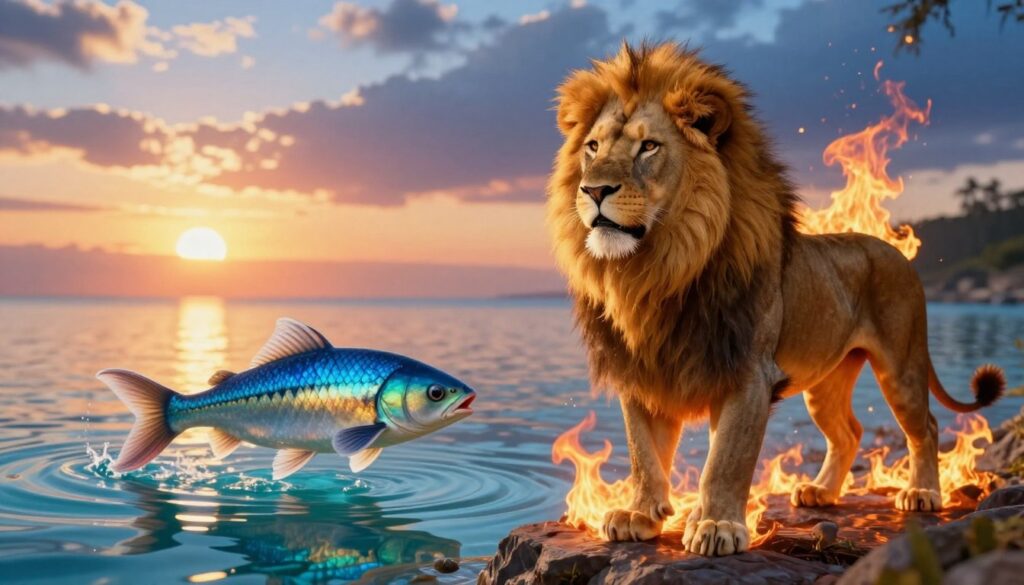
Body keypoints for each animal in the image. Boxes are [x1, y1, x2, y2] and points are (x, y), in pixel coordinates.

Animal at [546, 42, 1005, 557]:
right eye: (593, 147)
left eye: (649, 147)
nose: (593, 189)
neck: (656, 271)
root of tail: (896, 252)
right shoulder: (643, 373)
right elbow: (643, 453)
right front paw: (639, 516)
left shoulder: (747, 373)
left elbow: (725, 460)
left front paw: (717, 526)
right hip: (826, 381)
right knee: (849, 433)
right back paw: (820, 492)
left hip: (901, 364)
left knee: (925, 425)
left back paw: (922, 493)